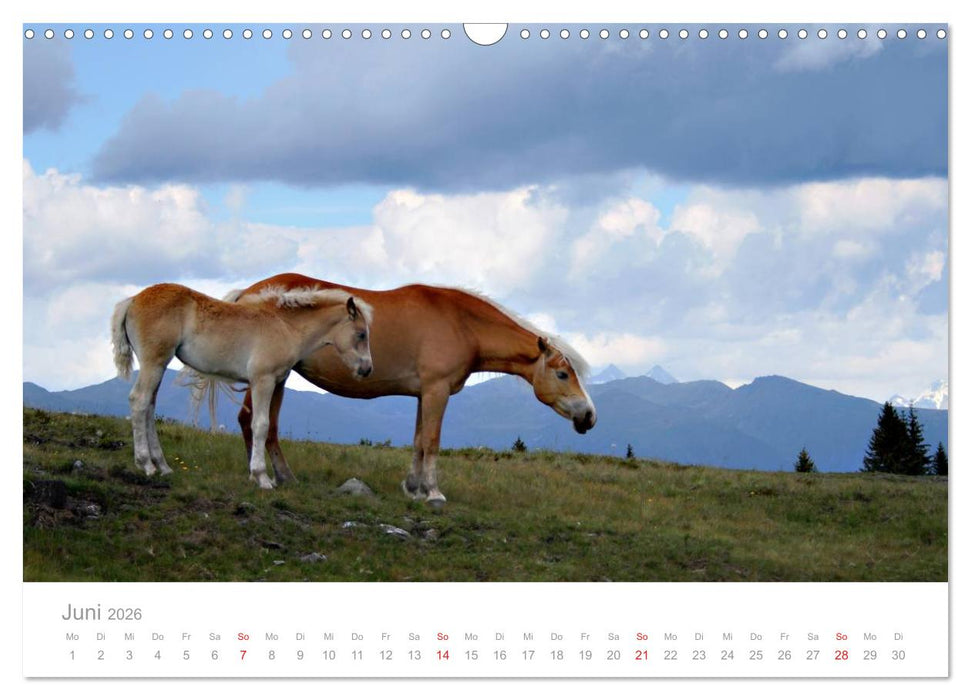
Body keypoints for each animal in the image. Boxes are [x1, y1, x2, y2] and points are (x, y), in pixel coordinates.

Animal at [110, 282, 373, 489]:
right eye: (361, 334)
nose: (367, 369)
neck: (284, 326)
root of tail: (133, 300)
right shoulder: (262, 380)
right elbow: (261, 425)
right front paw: (262, 477)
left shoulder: (274, 383)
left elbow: (265, 425)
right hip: (154, 362)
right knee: (139, 401)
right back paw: (146, 464)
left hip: (158, 365)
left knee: (149, 407)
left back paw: (163, 466)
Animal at [194, 273, 596, 505]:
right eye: (563, 374)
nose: (589, 416)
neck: (461, 323)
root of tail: (248, 292)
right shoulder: (436, 391)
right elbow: (432, 442)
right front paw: (433, 492)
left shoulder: (424, 394)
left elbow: (418, 441)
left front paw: (413, 487)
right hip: (271, 376)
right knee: (251, 420)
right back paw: (263, 475)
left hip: (279, 376)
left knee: (268, 426)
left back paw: (282, 476)